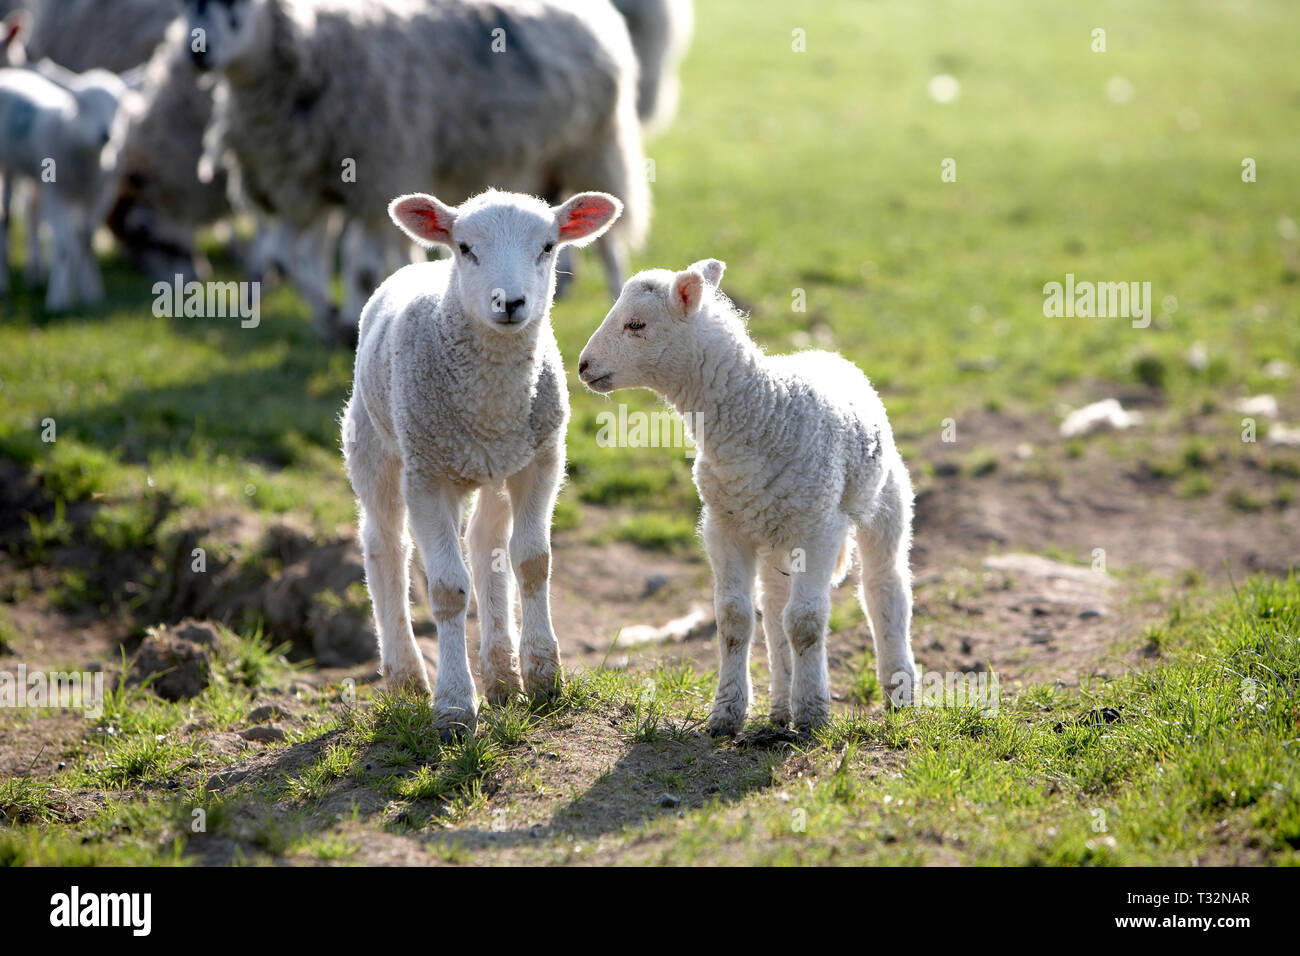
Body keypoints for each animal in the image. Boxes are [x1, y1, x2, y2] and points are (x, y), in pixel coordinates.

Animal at [183, 0, 650, 343]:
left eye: (239, 6)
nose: (197, 53)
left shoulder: (378, 175)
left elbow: (360, 268)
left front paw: (348, 321)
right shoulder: (301, 187)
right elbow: (294, 261)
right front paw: (334, 320)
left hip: (592, 147)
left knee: (608, 245)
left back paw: (616, 296)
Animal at [343, 188, 621, 738]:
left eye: (548, 247)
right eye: (467, 247)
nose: (509, 302)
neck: (490, 399)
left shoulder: (542, 461)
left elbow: (532, 562)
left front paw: (542, 677)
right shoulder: (426, 476)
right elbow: (448, 589)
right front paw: (453, 707)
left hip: (494, 467)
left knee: (485, 543)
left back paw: (502, 675)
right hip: (374, 443)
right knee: (385, 546)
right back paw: (406, 677)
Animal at [574, 257, 920, 728]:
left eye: (635, 324)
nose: (583, 366)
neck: (762, 412)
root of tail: (827, 354)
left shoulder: (820, 527)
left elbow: (807, 621)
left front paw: (813, 715)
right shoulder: (724, 526)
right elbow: (734, 620)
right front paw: (726, 712)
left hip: (884, 501)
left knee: (884, 588)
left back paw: (898, 694)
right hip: (772, 531)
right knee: (774, 608)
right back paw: (779, 705)